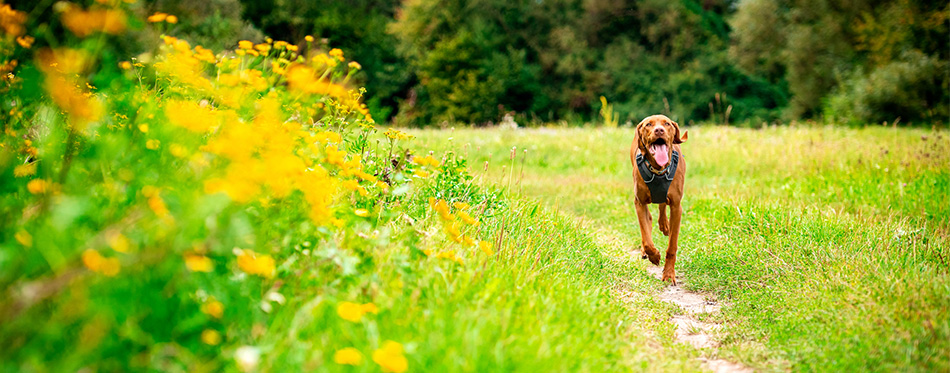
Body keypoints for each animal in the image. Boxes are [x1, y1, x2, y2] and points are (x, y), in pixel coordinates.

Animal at [628, 115, 688, 284]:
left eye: (666, 124)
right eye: (648, 124)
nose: (659, 130)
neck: (658, 170)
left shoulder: (676, 206)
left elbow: (672, 246)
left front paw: (668, 274)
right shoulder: (639, 202)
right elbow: (646, 238)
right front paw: (654, 255)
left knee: (662, 205)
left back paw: (664, 225)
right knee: (648, 220)